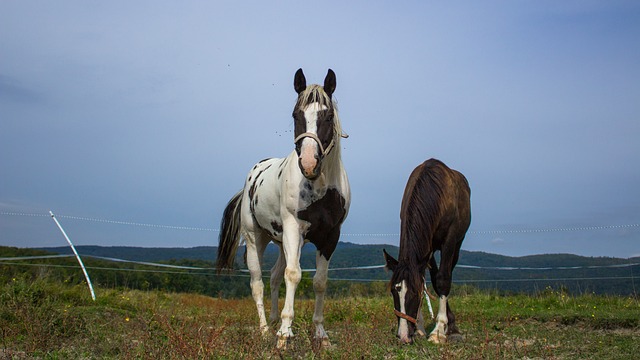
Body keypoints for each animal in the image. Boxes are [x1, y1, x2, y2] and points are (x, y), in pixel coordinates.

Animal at [218, 68, 352, 348]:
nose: (309, 164)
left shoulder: (330, 236)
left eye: (328, 116)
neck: (320, 187)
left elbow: (319, 282)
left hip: (281, 241)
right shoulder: (293, 228)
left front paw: (320, 334)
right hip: (256, 238)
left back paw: (273, 320)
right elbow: (294, 275)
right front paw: (284, 334)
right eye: (295, 115)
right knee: (258, 282)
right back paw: (265, 330)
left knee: (274, 276)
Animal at [384, 159, 470, 344]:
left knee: (446, 274)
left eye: (413, 294)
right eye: (393, 291)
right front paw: (419, 328)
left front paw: (438, 331)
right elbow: (426, 280)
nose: (403, 335)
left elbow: (443, 280)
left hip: (457, 244)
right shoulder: (425, 248)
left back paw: (451, 327)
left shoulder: (449, 239)